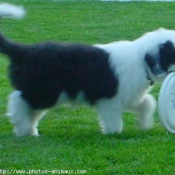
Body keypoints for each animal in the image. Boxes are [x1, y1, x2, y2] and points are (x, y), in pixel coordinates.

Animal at [0, 3, 175, 137]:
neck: (141, 61)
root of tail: (25, 51)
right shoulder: (110, 99)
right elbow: (113, 118)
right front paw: (113, 132)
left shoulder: (128, 96)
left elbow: (148, 103)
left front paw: (144, 123)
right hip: (45, 90)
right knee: (18, 100)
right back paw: (21, 123)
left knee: (31, 110)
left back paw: (27, 131)